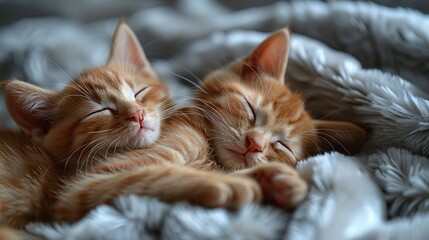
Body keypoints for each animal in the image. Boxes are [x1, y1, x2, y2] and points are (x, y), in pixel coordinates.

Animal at [53, 27, 366, 221]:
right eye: (250, 109)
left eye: (282, 146)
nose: (254, 144)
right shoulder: (84, 186)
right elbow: (154, 177)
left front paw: (278, 181)